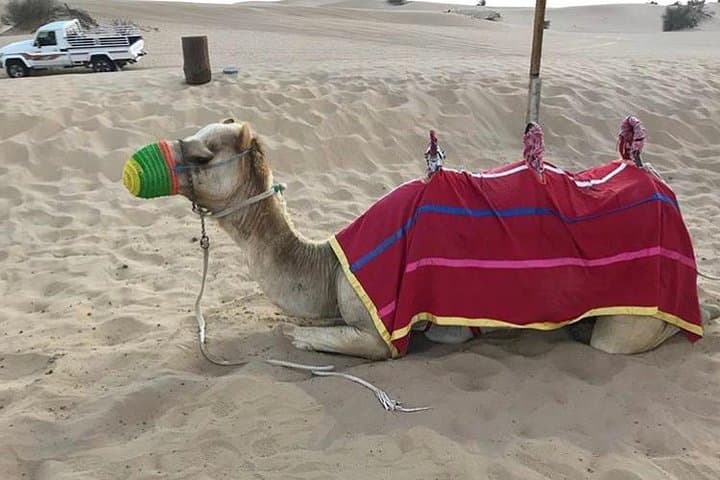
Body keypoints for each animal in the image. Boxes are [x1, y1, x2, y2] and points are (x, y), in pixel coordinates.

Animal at [139, 119, 714, 360]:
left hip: (637, 314)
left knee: (651, 332)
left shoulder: (382, 329)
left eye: (204, 154)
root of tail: (666, 191)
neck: (329, 267)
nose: (148, 159)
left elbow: (308, 338)